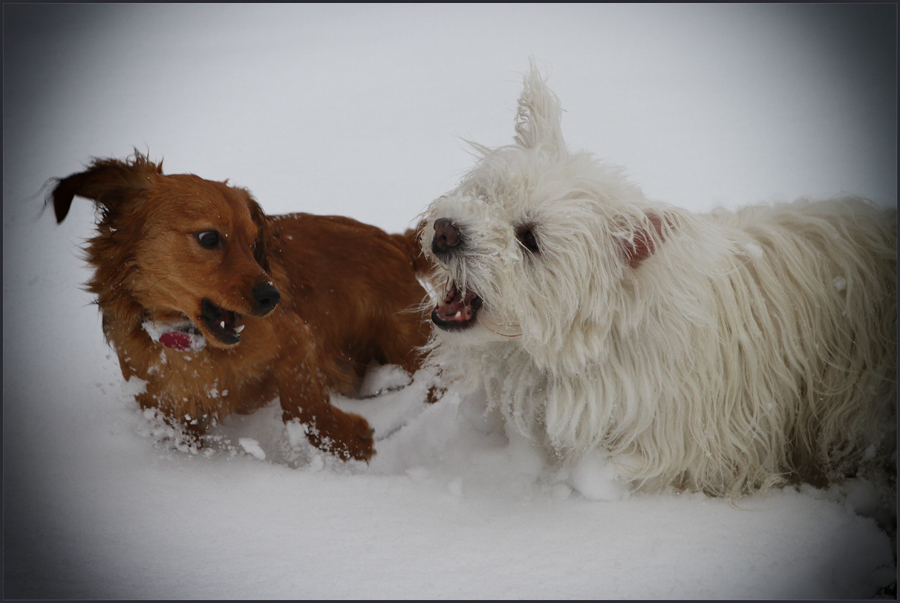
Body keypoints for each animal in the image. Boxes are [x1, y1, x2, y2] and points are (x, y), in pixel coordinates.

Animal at [51, 153, 430, 460]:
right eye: (209, 238)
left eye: (253, 242)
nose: (272, 298)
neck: (190, 343)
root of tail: (393, 240)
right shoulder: (163, 408)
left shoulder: (295, 339)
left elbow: (301, 404)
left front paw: (346, 440)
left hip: (408, 343)